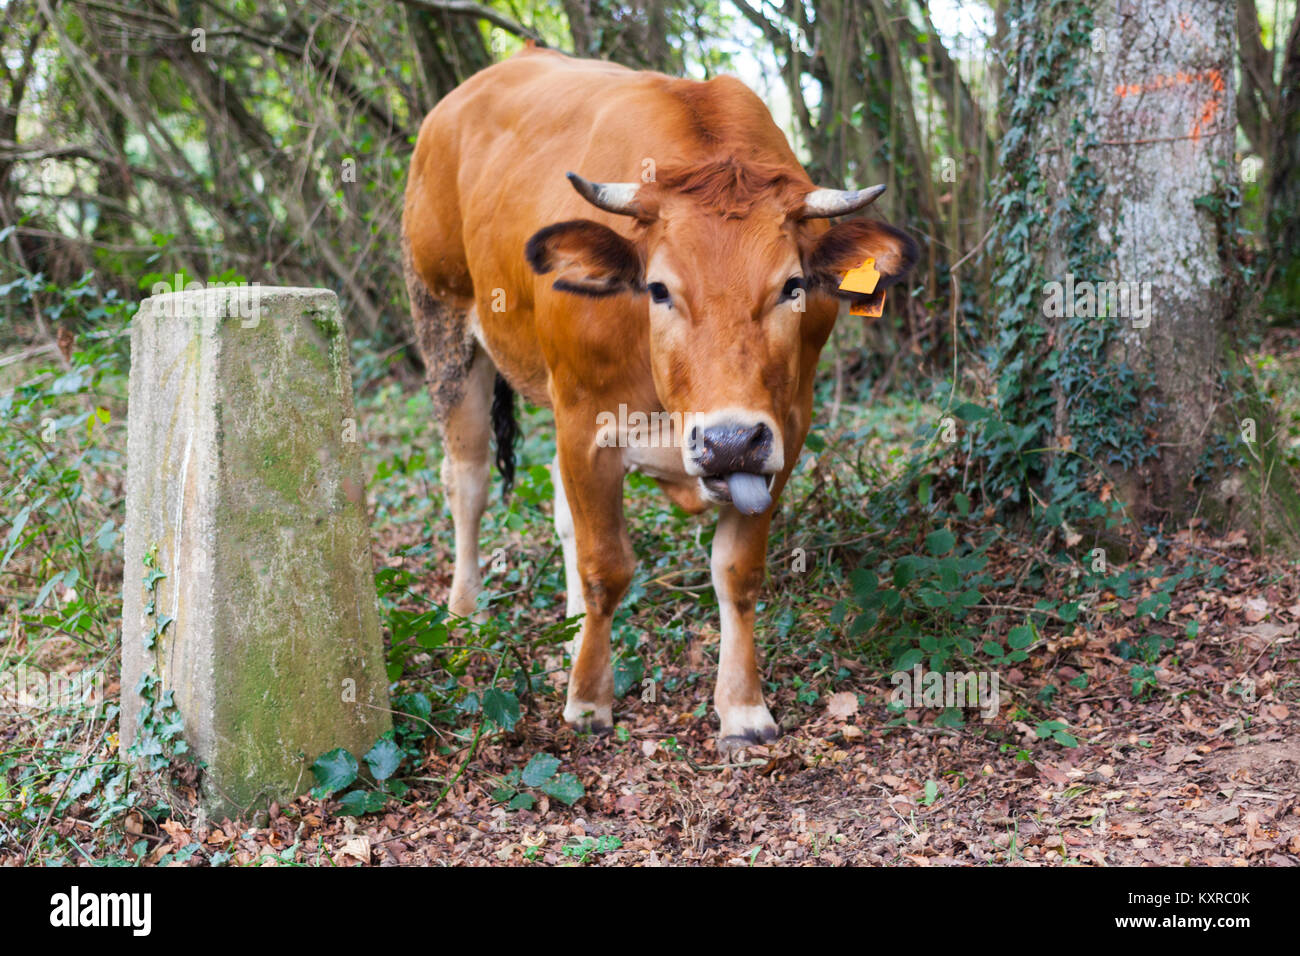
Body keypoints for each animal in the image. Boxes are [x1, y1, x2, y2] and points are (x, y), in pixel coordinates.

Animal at [400, 48, 920, 754]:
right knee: (469, 480)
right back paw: (463, 614)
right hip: (444, 322)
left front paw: (743, 706)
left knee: (558, 508)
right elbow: (607, 566)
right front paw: (589, 699)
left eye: (792, 286)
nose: (728, 441)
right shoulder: (586, 423)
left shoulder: (784, 430)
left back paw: (568, 623)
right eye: (658, 288)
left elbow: (737, 571)